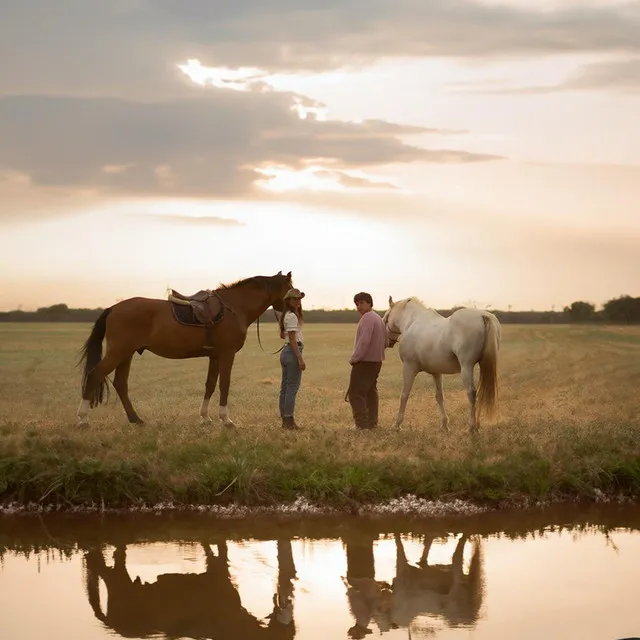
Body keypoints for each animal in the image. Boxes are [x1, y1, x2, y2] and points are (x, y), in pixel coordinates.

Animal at [77, 268, 292, 424]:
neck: (234, 308)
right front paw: (226, 419)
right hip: (118, 352)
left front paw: (205, 418)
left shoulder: (215, 356)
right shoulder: (227, 354)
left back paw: (135, 419)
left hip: (126, 354)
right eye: (291, 287)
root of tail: (114, 308)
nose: (296, 308)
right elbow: (224, 384)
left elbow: (210, 384)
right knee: (95, 374)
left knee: (120, 384)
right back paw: (83, 419)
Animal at [380, 298, 500, 432]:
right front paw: (444, 425)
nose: (388, 342)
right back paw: (477, 425)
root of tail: (483, 316)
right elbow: (439, 396)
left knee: (472, 393)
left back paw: (471, 427)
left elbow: (404, 395)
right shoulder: (436, 372)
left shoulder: (409, 368)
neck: (413, 322)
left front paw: (397, 425)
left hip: (466, 367)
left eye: (386, 317)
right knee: (482, 392)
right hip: (483, 365)